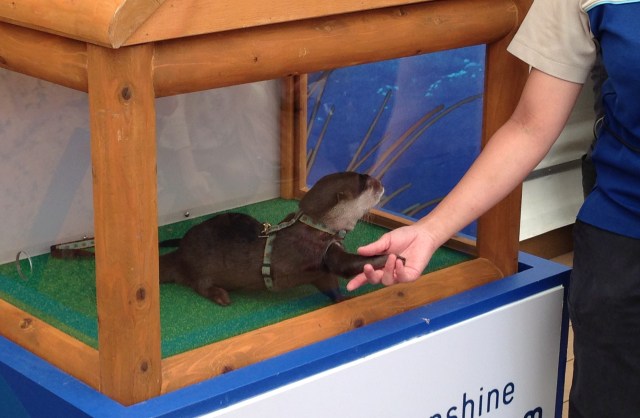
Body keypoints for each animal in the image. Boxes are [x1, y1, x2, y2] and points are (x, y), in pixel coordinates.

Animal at [158, 171, 392, 306]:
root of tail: (180, 253)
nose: (381, 183)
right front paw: (388, 257)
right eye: (366, 184)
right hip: (201, 270)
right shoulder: (319, 255)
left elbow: (331, 286)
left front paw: (344, 298)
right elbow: (346, 267)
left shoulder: (322, 266)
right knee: (199, 285)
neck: (317, 228)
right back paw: (222, 297)